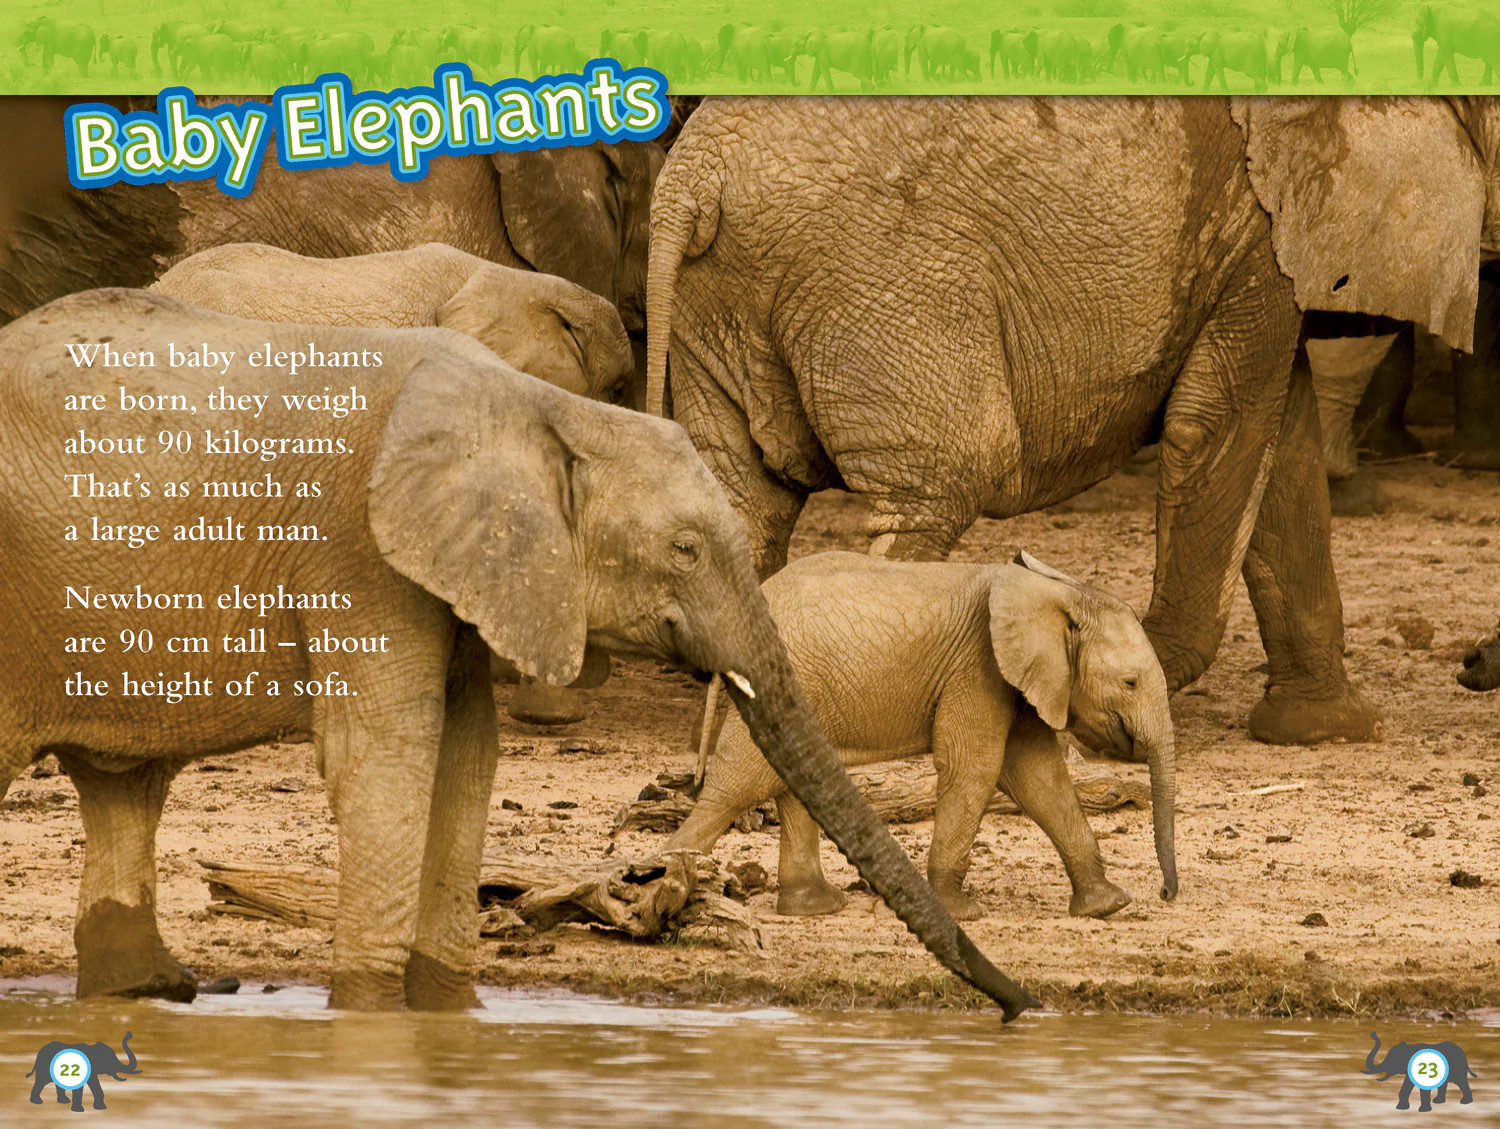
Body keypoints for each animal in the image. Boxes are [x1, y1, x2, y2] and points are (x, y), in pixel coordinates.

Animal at [0, 287, 1035, 1020]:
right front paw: (367, 1018)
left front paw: (448, 1011)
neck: (541, 410)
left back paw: (141, 990)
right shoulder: (360, 554)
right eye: (685, 550)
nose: (1024, 1005)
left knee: (123, 786)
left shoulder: (471, 575)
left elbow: (468, 755)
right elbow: (389, 755)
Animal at [647, 97, 1500, 744]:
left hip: (720, 300)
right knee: (936, 486)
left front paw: (1324, 732)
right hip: (878, 277)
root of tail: (693, 178)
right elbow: (1214, 429)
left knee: (747, 501)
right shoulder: (1255, 237)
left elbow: (1280, 456)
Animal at [669, 551, 1176, 922]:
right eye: (1130, 683)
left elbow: (1039, 775)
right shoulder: (978, 667)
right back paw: (663, 879)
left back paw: (813, 908)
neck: (1057, 592)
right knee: (738, 785)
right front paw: (960, 914)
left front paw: (1108, 905)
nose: (1167, 895)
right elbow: (976, 768)